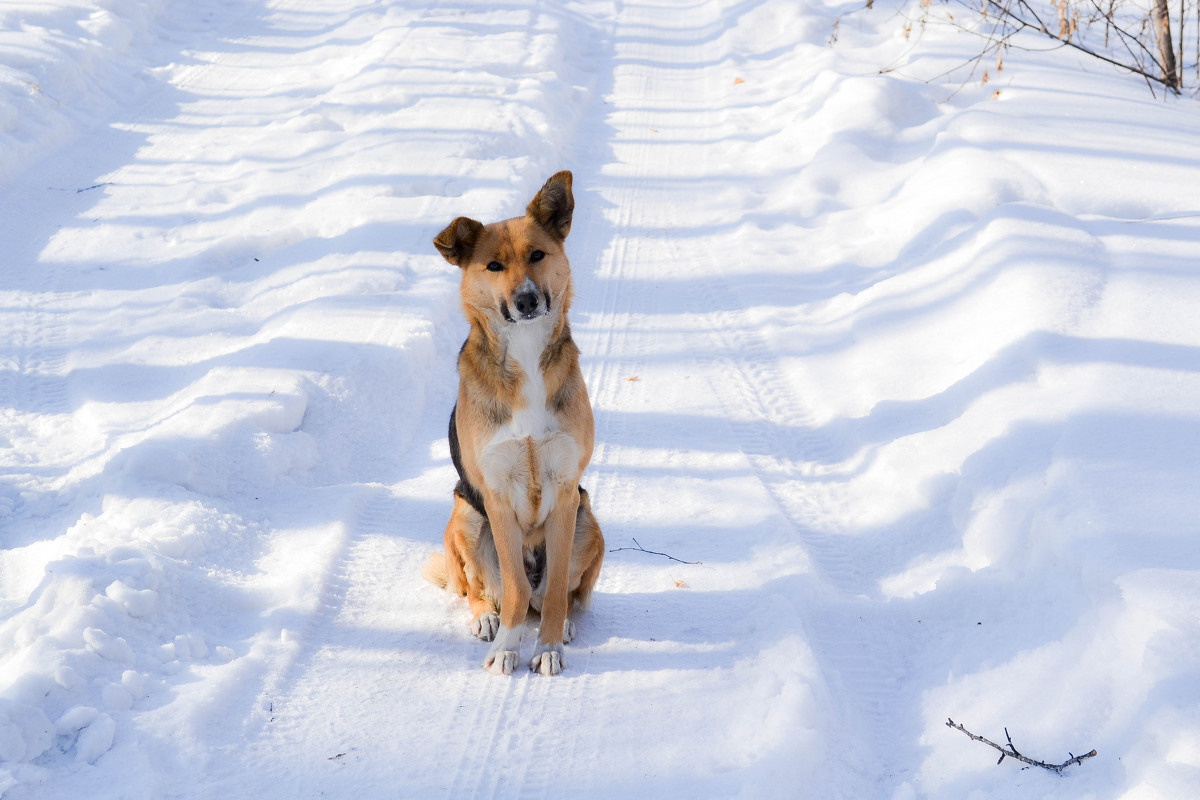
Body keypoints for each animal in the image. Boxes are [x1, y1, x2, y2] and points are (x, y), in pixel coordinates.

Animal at [424, 170, 609, 676]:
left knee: (557, 594)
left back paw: (562, 624)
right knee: (482, 589)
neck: (525, 350)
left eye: (538, 255)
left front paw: (548, 647)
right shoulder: (497, 496)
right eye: (493, 266)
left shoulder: (565, 491)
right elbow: (513, 587)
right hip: (465, 518)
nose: (526, 300)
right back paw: (485, 618)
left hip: (589, 520)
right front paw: (507, 646)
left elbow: (554, 590)